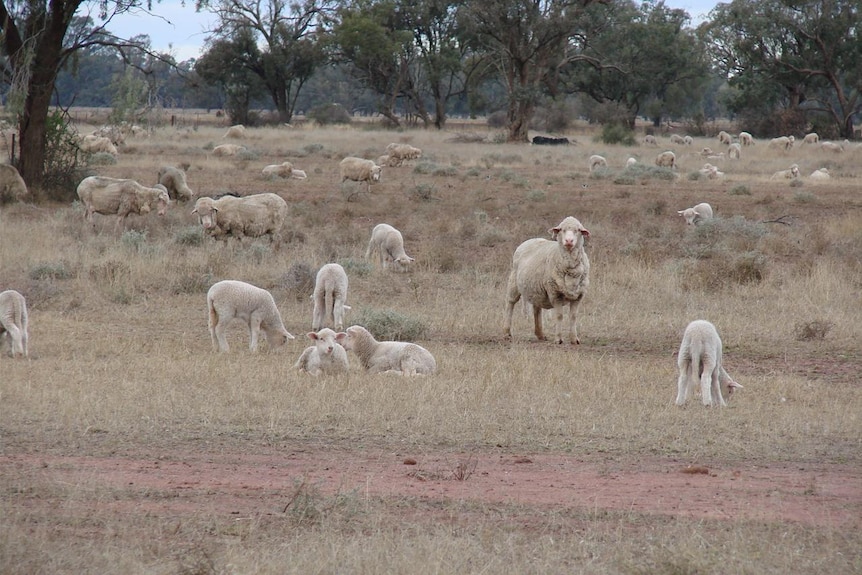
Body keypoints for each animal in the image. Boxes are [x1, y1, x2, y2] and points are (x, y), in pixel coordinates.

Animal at [502, 214, 592, 344]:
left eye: (578, 230)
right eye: (562, 230)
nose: (569, 241)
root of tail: (532, 239)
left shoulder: (578, 295)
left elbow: (573, 317)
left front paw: (574, 339)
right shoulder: (555, 293)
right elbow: (559, 316)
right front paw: (558, 339)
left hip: (535, 288)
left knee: (536, 309)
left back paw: (540, 334)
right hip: (513, 282)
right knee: (510, 304)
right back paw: (506, 333)